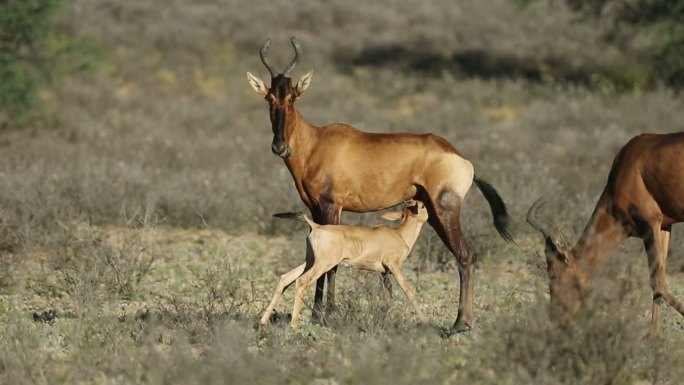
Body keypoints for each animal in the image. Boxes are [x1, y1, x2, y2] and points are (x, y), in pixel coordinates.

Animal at [260, 198, 430, 328]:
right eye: (421, 206)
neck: (399, 234)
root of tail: (316, 226)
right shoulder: (394, 267)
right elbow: (409, 291)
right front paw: (426, 321)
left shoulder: (383, 273)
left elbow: (389, 295)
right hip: (322, 264)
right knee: (301, 281)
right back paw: (294, 324)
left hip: (310, 261)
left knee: (286, 278)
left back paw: (263, 321)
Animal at [528, 133, 684, 336]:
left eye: (553, 274)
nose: (558, 321)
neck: (628, 165)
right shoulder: (664, 226)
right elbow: (661, 279)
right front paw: (652, 337)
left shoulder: (650, 224)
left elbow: (656, 281)